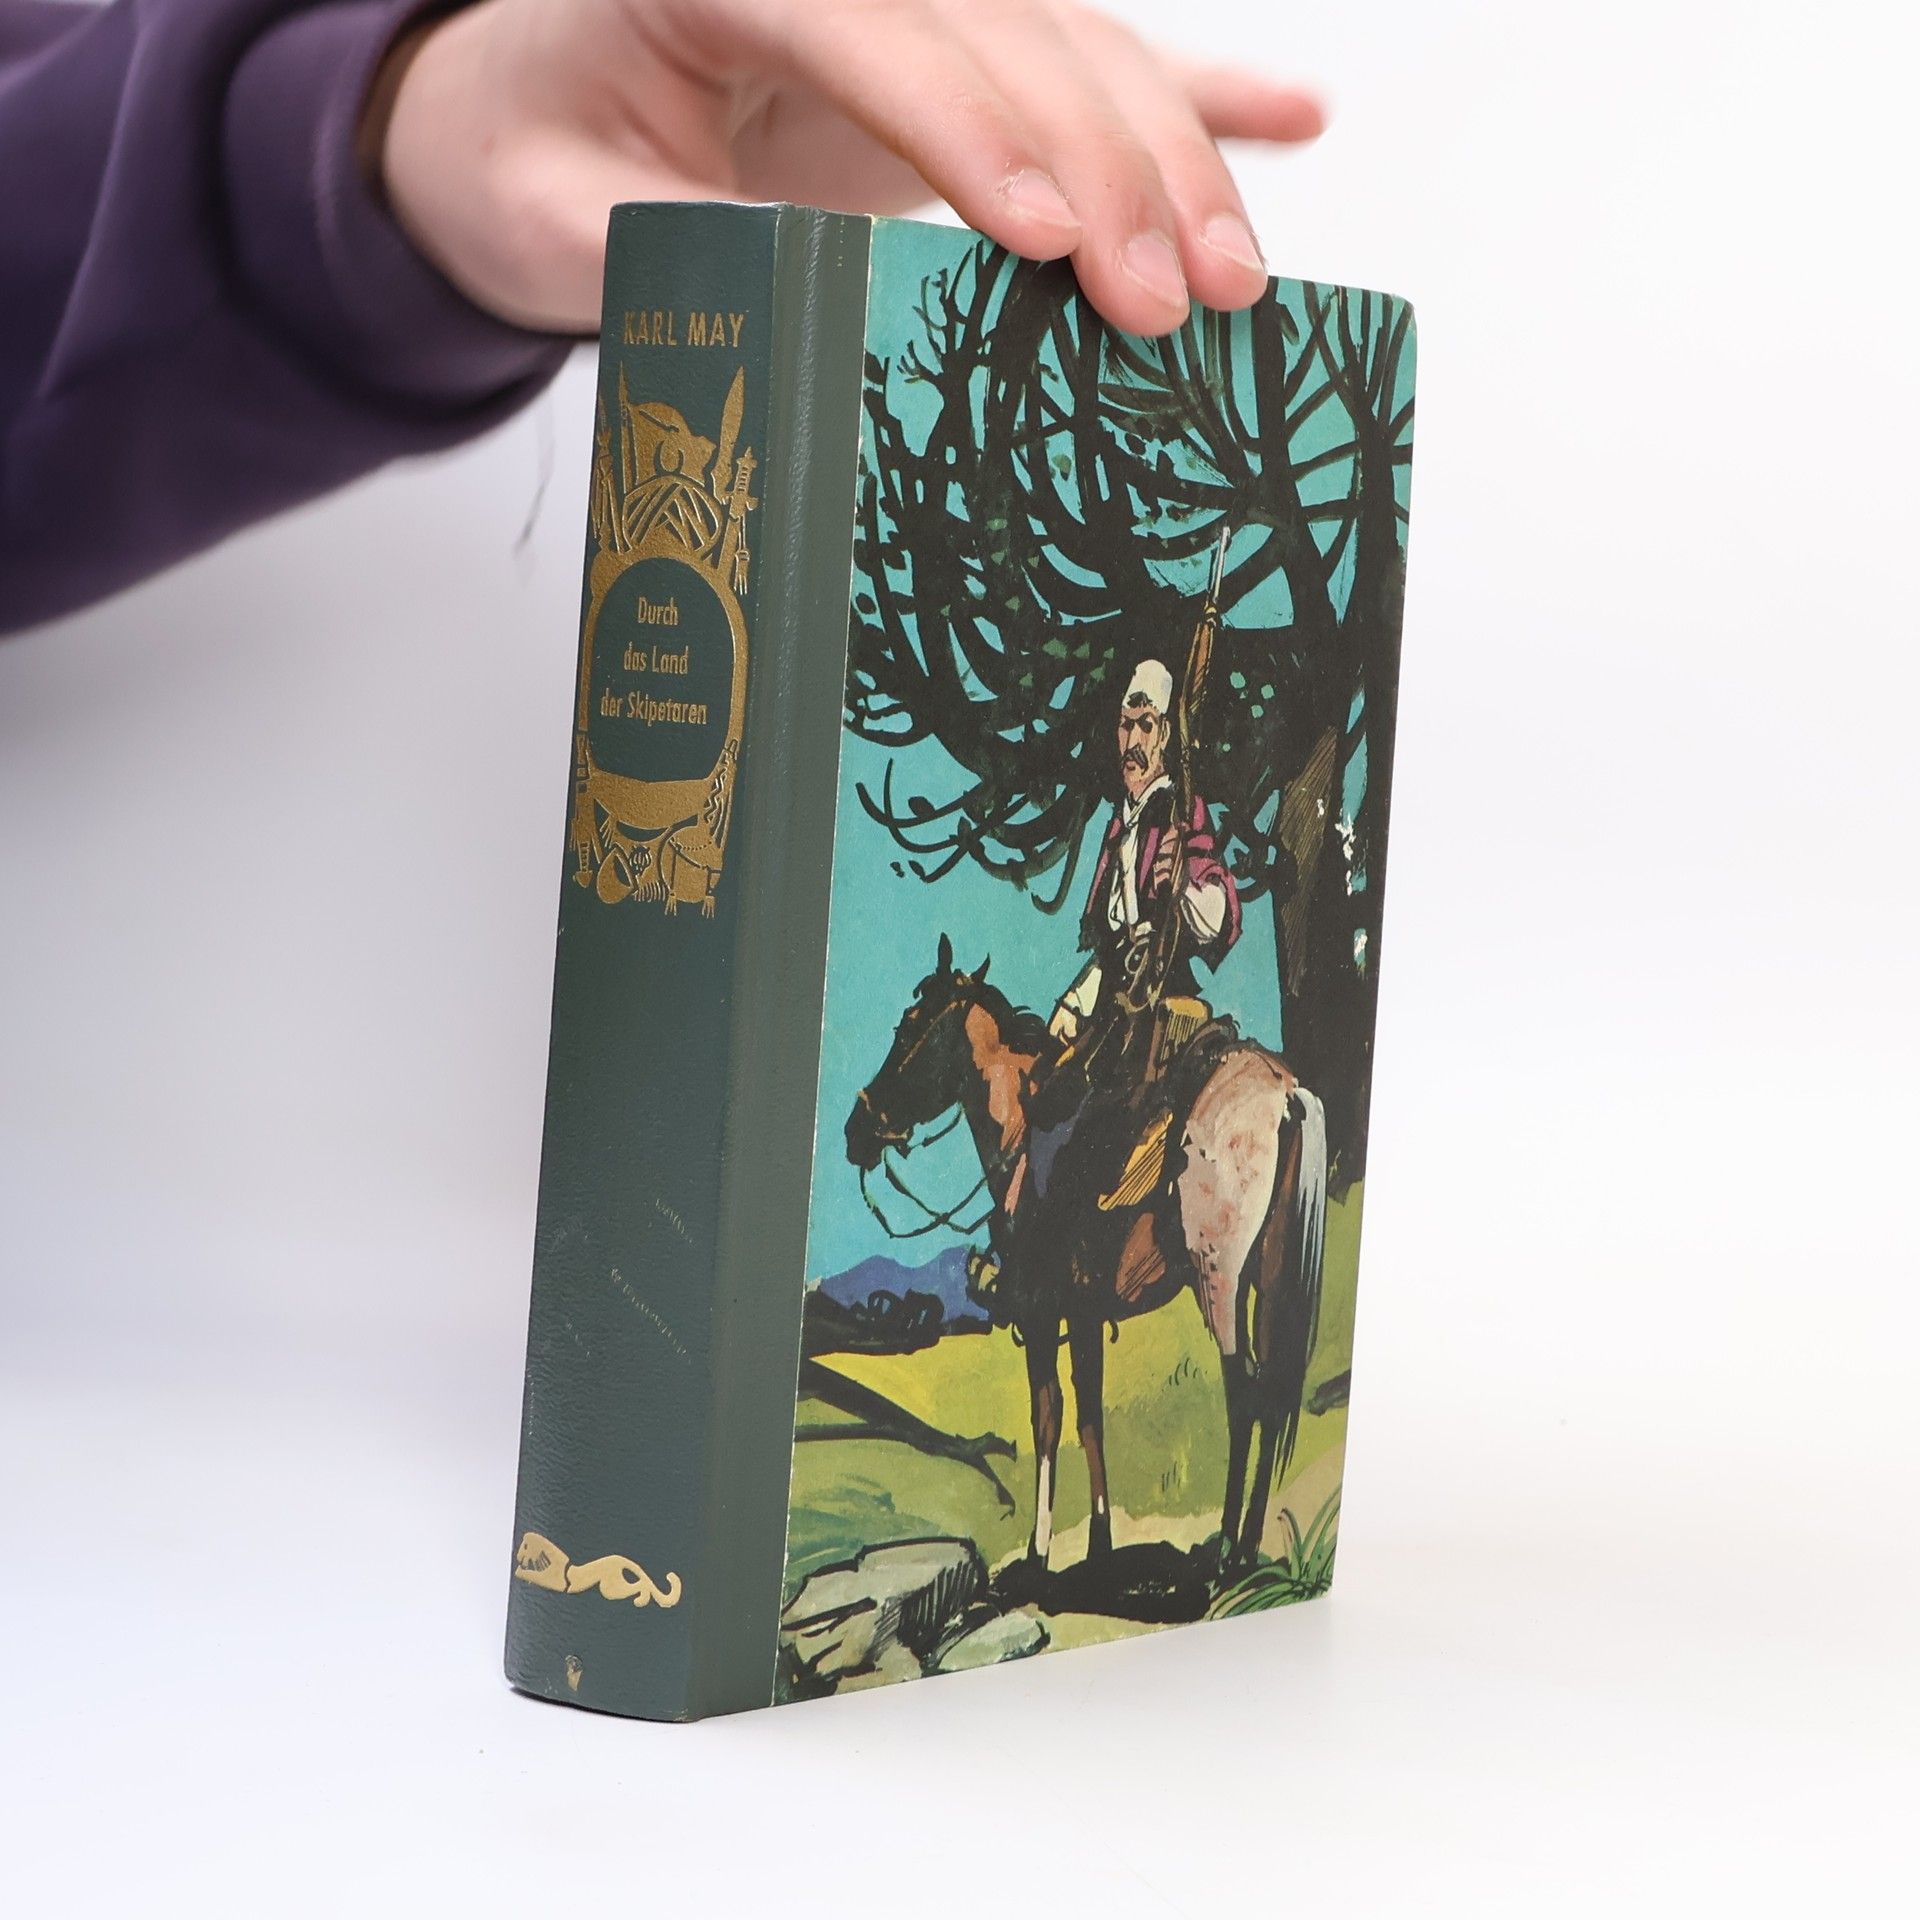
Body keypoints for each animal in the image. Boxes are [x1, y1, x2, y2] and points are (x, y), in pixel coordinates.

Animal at [843, 933, 1328, 1578]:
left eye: (908, 1030)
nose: (856, 1131)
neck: (1024, 1122)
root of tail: (1285, 1093)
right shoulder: (1088, 1312)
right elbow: (1091, 1415)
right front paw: (1100, 1542)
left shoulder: (1044, 1312)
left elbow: (1049, 1417)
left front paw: (1040, 1549)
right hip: (1266, 1280)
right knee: (1270, 1387)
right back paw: (1247, 1546)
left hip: (1218, 1280)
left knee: (1243, 1390)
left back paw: (1226, 1546)